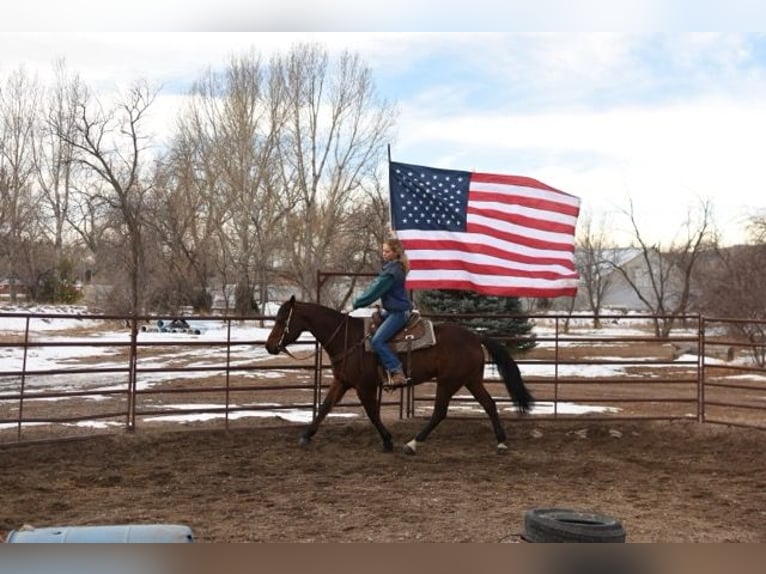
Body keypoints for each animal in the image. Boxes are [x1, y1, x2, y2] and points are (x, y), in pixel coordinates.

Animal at [264, 296, 536, 454]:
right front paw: (306, 436)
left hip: (449, 382)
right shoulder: (343, 382)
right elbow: (324, 407)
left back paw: (413, 443)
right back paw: (501, 442)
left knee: (440, 412)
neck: (348, 338)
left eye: (281, 319)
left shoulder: (364, 386)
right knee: (489, 404)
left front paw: (387, 441)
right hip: (470, 380)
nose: (269, 346)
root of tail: (475, 336)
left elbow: (372, 413)